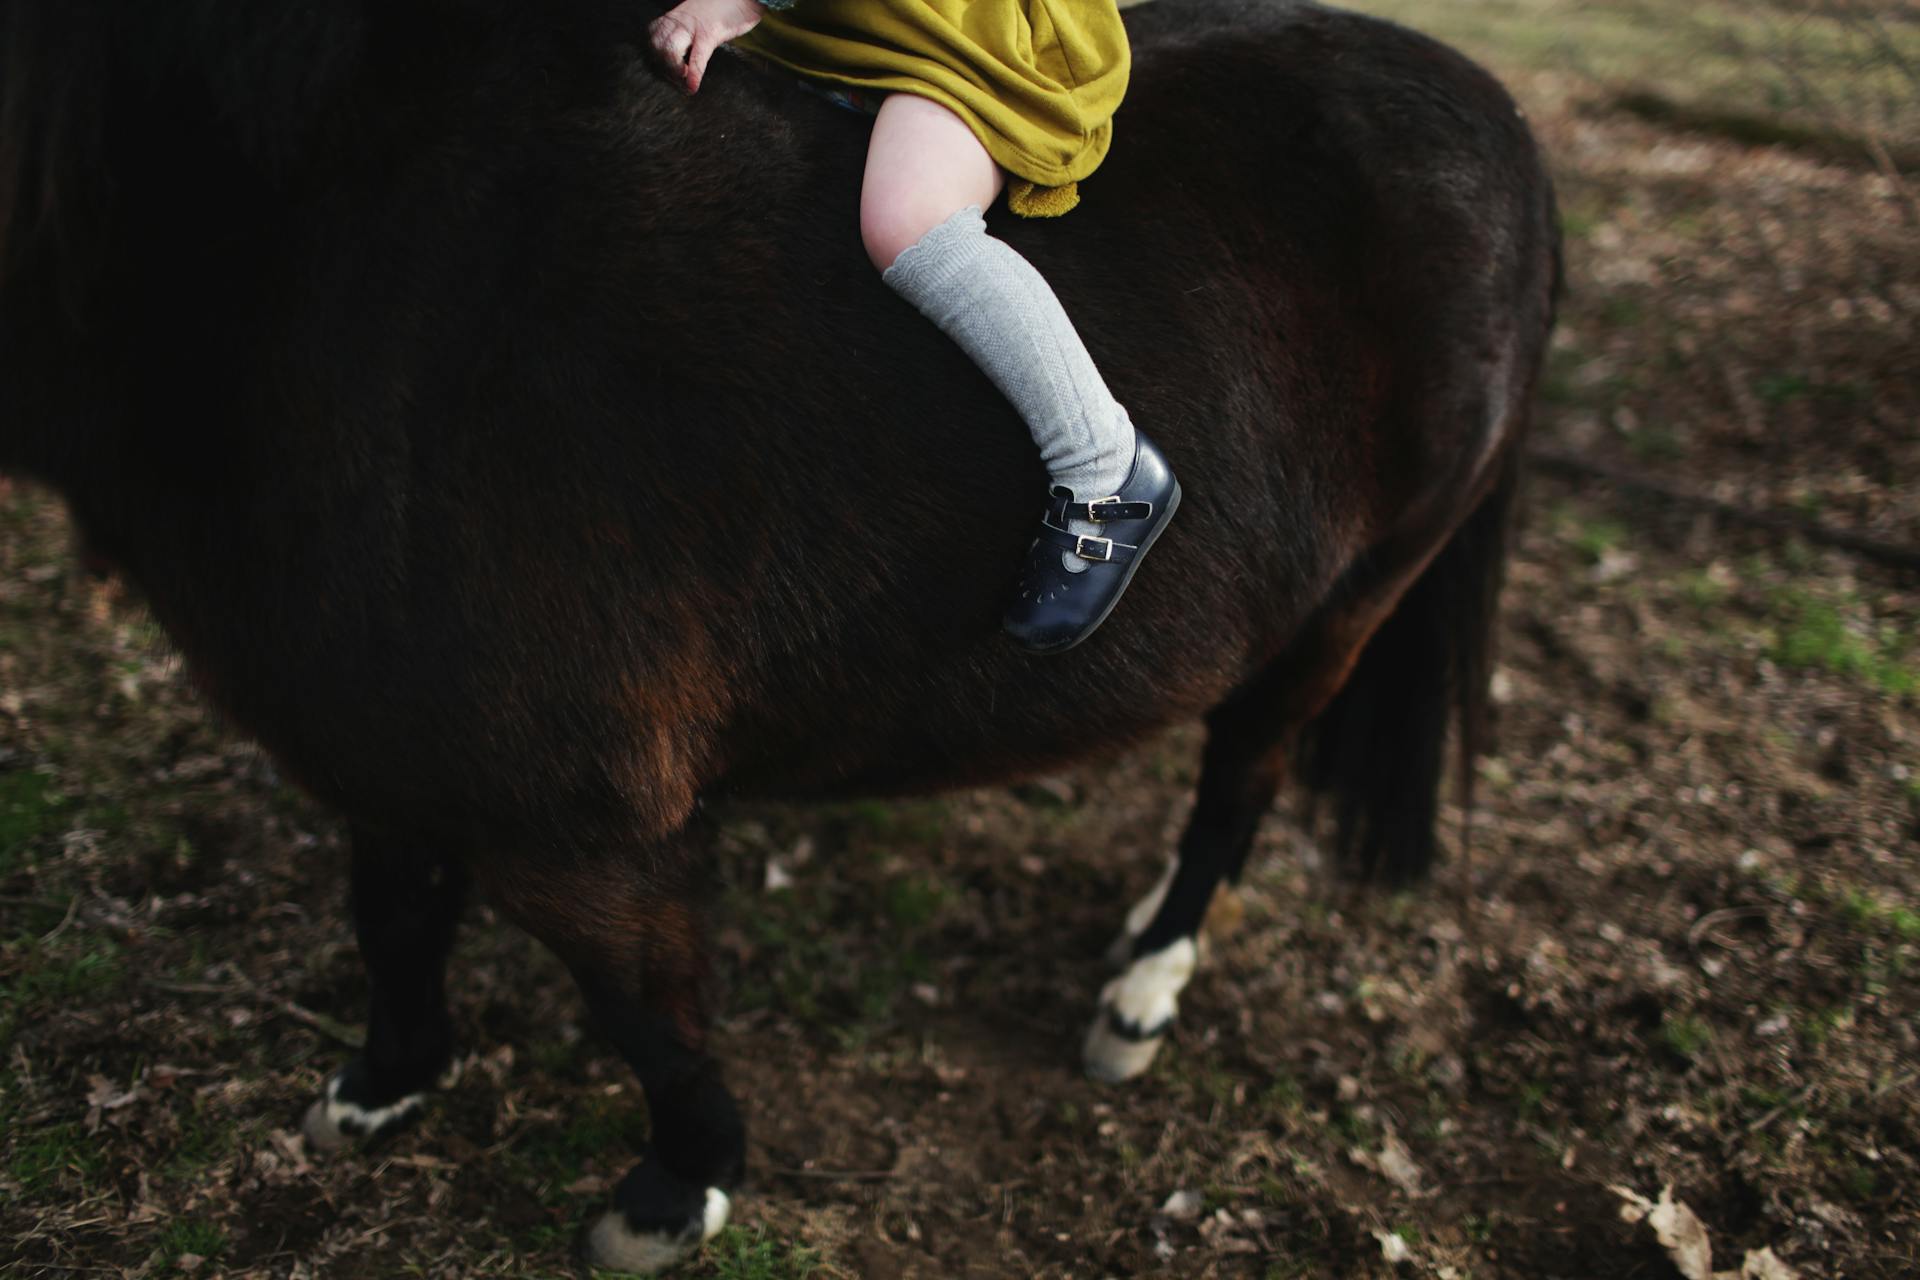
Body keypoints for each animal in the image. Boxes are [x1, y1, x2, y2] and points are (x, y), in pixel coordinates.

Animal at [0, 0, 1559, 1266]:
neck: (319, 253)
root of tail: (1501, 116)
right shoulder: (379, 740)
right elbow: (392, 913)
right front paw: (382, 1087)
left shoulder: (579, 818)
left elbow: (646, 1006)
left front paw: (674, 1195)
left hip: (1346, 605)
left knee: (1242, 775)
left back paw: (1141, 990)